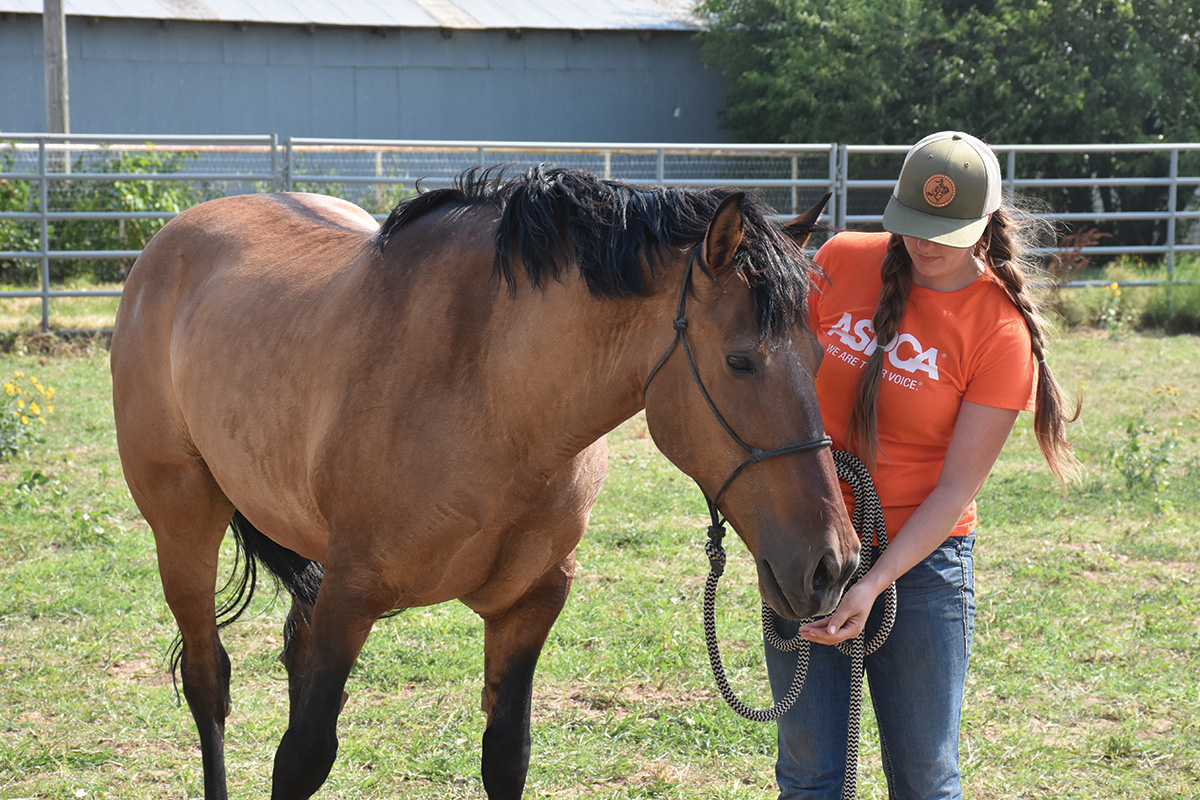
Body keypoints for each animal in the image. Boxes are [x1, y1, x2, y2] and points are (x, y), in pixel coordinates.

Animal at [112, 165, 859, 796]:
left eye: (820, 354)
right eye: (740, 361)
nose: (835, 564)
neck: (491, 392)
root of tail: (169, 244)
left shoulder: (529, 604)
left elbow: (506, 755)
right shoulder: (351, 598)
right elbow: (301, 757)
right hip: (185, 523)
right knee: (208, 680)